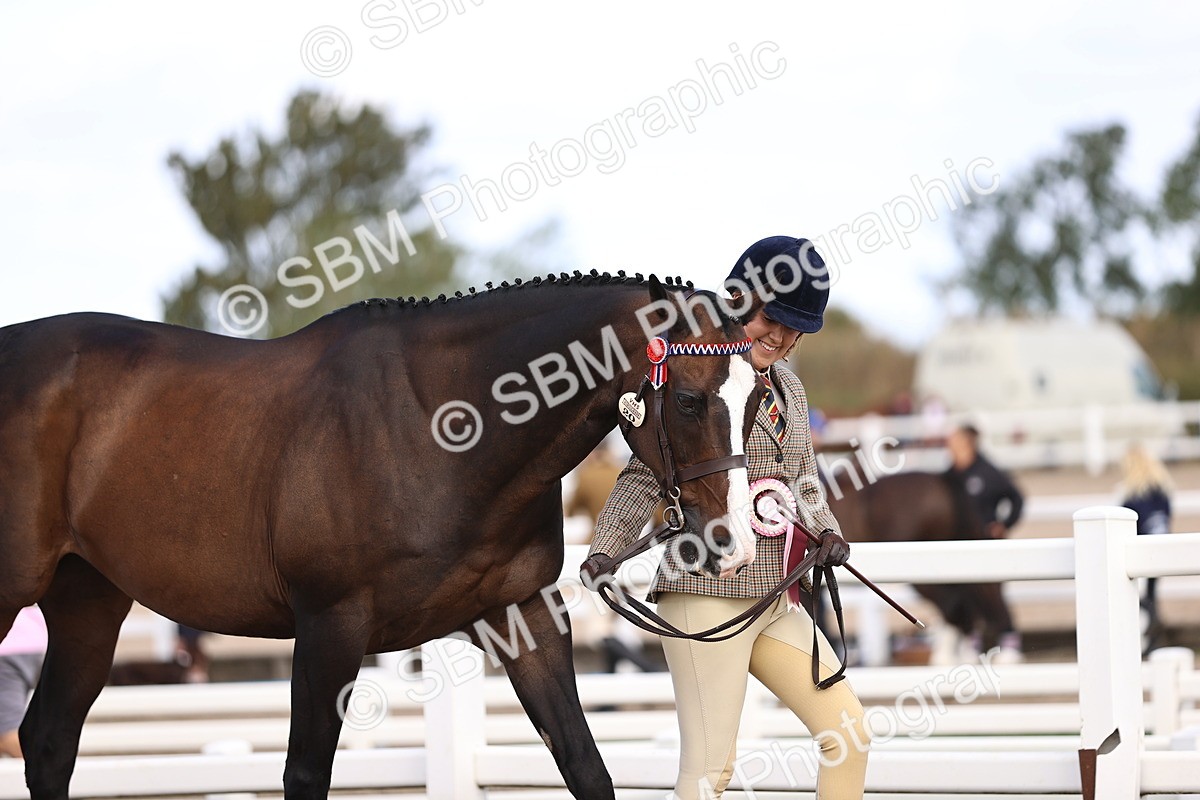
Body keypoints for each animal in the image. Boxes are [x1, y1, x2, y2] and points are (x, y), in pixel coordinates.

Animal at [0, 272, 764, 800]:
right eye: (689, 400)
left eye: (759, 395)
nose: (735, 543)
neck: (439, 427)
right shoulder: (329, 627)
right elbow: (305, 775)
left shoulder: (522, 615)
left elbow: (584, 764)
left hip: (89, 603)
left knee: (48, 741)